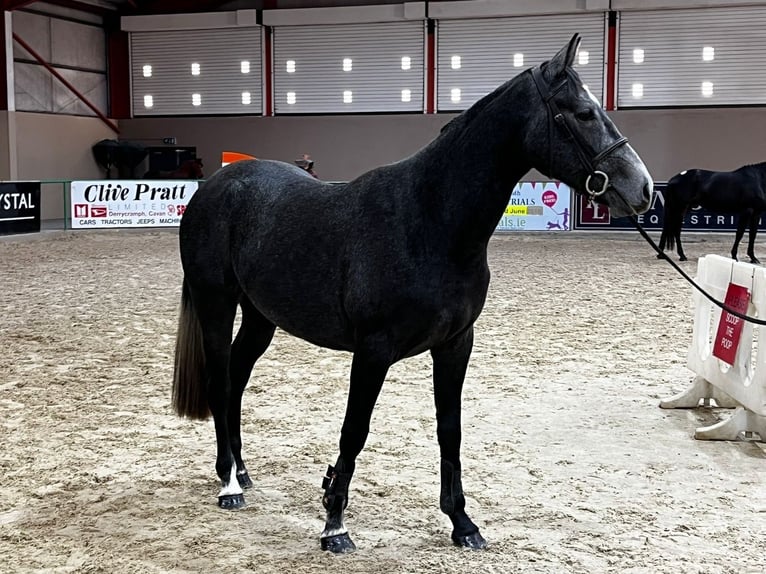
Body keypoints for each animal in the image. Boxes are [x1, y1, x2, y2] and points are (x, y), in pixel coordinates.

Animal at [172, 33, 656, 556]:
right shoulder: (372, 351)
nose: (644, 189)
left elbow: (450, 430)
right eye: (583, 112)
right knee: (221, 381)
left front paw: (462, 523)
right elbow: (354, 431)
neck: (428, 220)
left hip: (261, 317)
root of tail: (213, 188)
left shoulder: (455, 345)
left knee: (238, 378)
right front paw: (334, 525)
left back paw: (242, 471)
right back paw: (229, 484)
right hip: (216, 304)